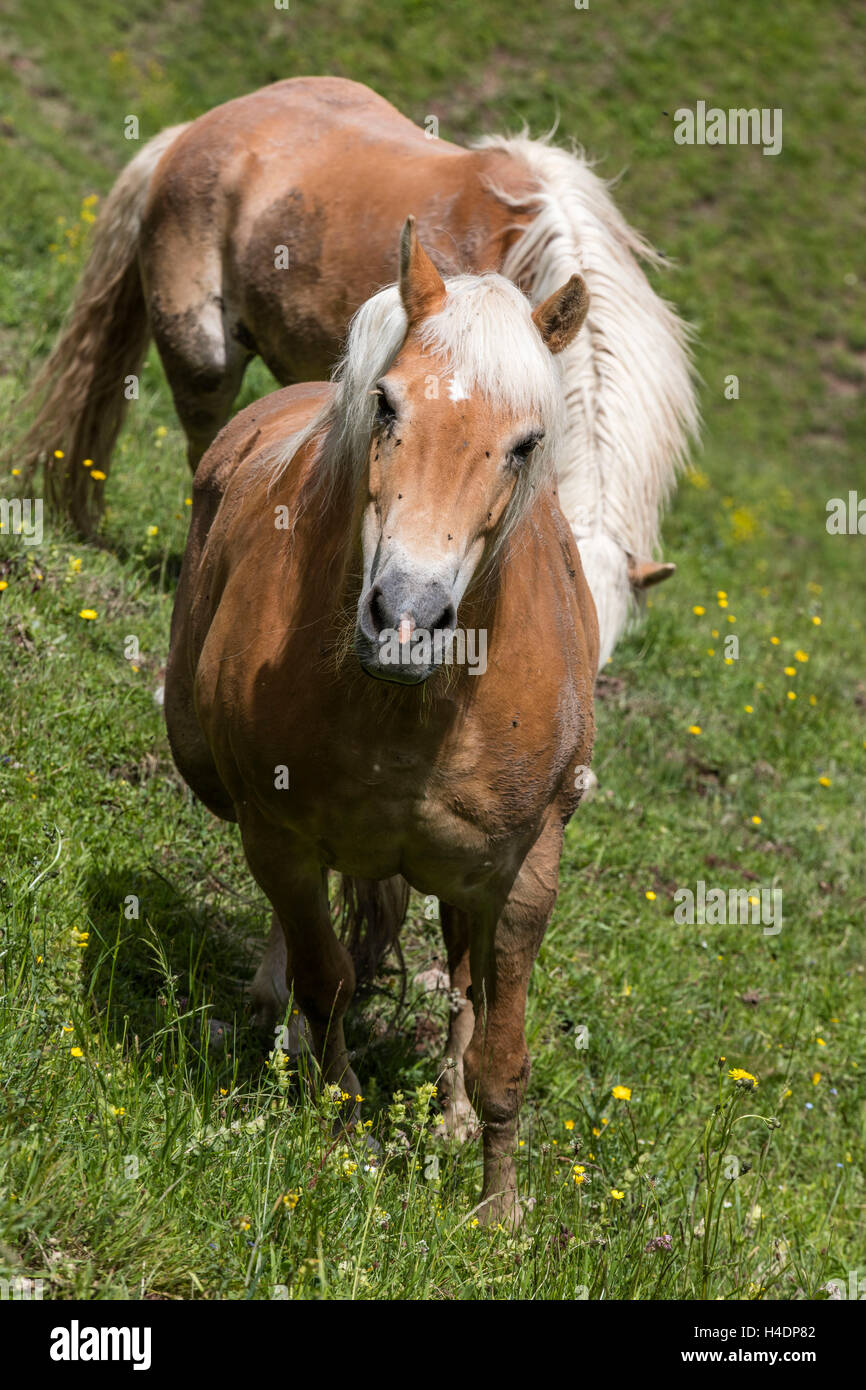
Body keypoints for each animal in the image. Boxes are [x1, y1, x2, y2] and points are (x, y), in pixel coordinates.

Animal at [162, 222, 594, 1223]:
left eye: (526, 444)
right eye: (388, 405)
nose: (404, 616)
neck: (411, 710)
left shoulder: (524, 878)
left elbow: (503, 1055)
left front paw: (500, 1212)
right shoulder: (278, 833)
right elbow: (328, 981)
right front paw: (340, 1127)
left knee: (465, 988)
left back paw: (450, 1115)